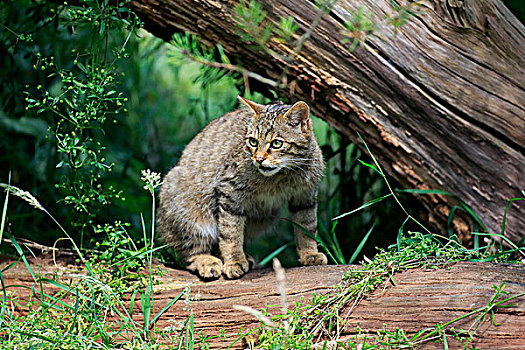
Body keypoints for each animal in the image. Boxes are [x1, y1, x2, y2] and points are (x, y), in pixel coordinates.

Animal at [158, 97, 326, 280]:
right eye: (253, 142)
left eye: (276, 143)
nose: (258, 159)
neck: (282, 176)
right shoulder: (230, 194)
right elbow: (231, 233)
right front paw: (234, 261)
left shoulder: (306, 197)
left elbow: (307, 227)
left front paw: (310, 253)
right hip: (186, 208)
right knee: (190, 251)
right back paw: (207, 261)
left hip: (264, 216)